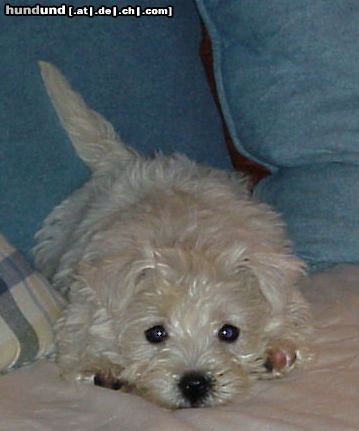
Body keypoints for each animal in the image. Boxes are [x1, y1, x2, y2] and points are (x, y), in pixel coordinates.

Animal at [35, 62, 314, 410]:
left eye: (229, 332)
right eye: (155, 333)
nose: (194, 384)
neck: (187, 245)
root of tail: (124, 159)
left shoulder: (284, 291)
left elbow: (288, 318)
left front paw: (275, 349)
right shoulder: (82, 307)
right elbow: (80, 342)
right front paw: (101, 366)